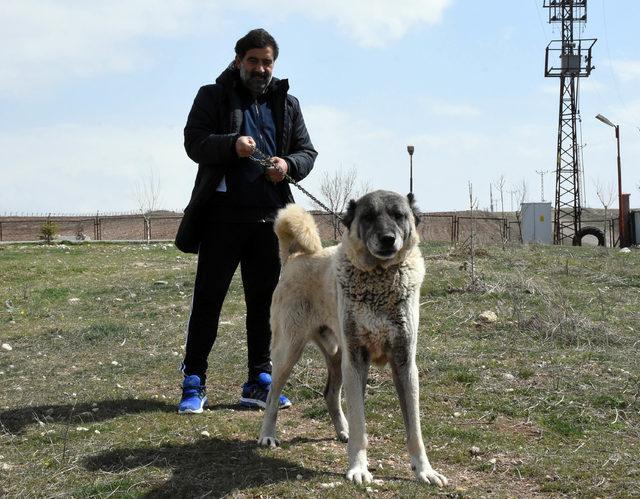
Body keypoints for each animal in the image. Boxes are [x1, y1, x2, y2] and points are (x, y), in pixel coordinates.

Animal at [258, 190, 448, 488]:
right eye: (368, 217)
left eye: (399, 215)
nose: (387, 238)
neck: (380, 279)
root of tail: (296, 256)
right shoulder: (357, 362)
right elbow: (361, 423)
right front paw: (358, 468)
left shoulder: (405, 364)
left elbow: (415, 430)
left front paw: (424, 470)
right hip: (289, 352)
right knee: (272, 397)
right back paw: (268, 434)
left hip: (337, 357)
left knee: (329, 394)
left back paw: (342, 430)